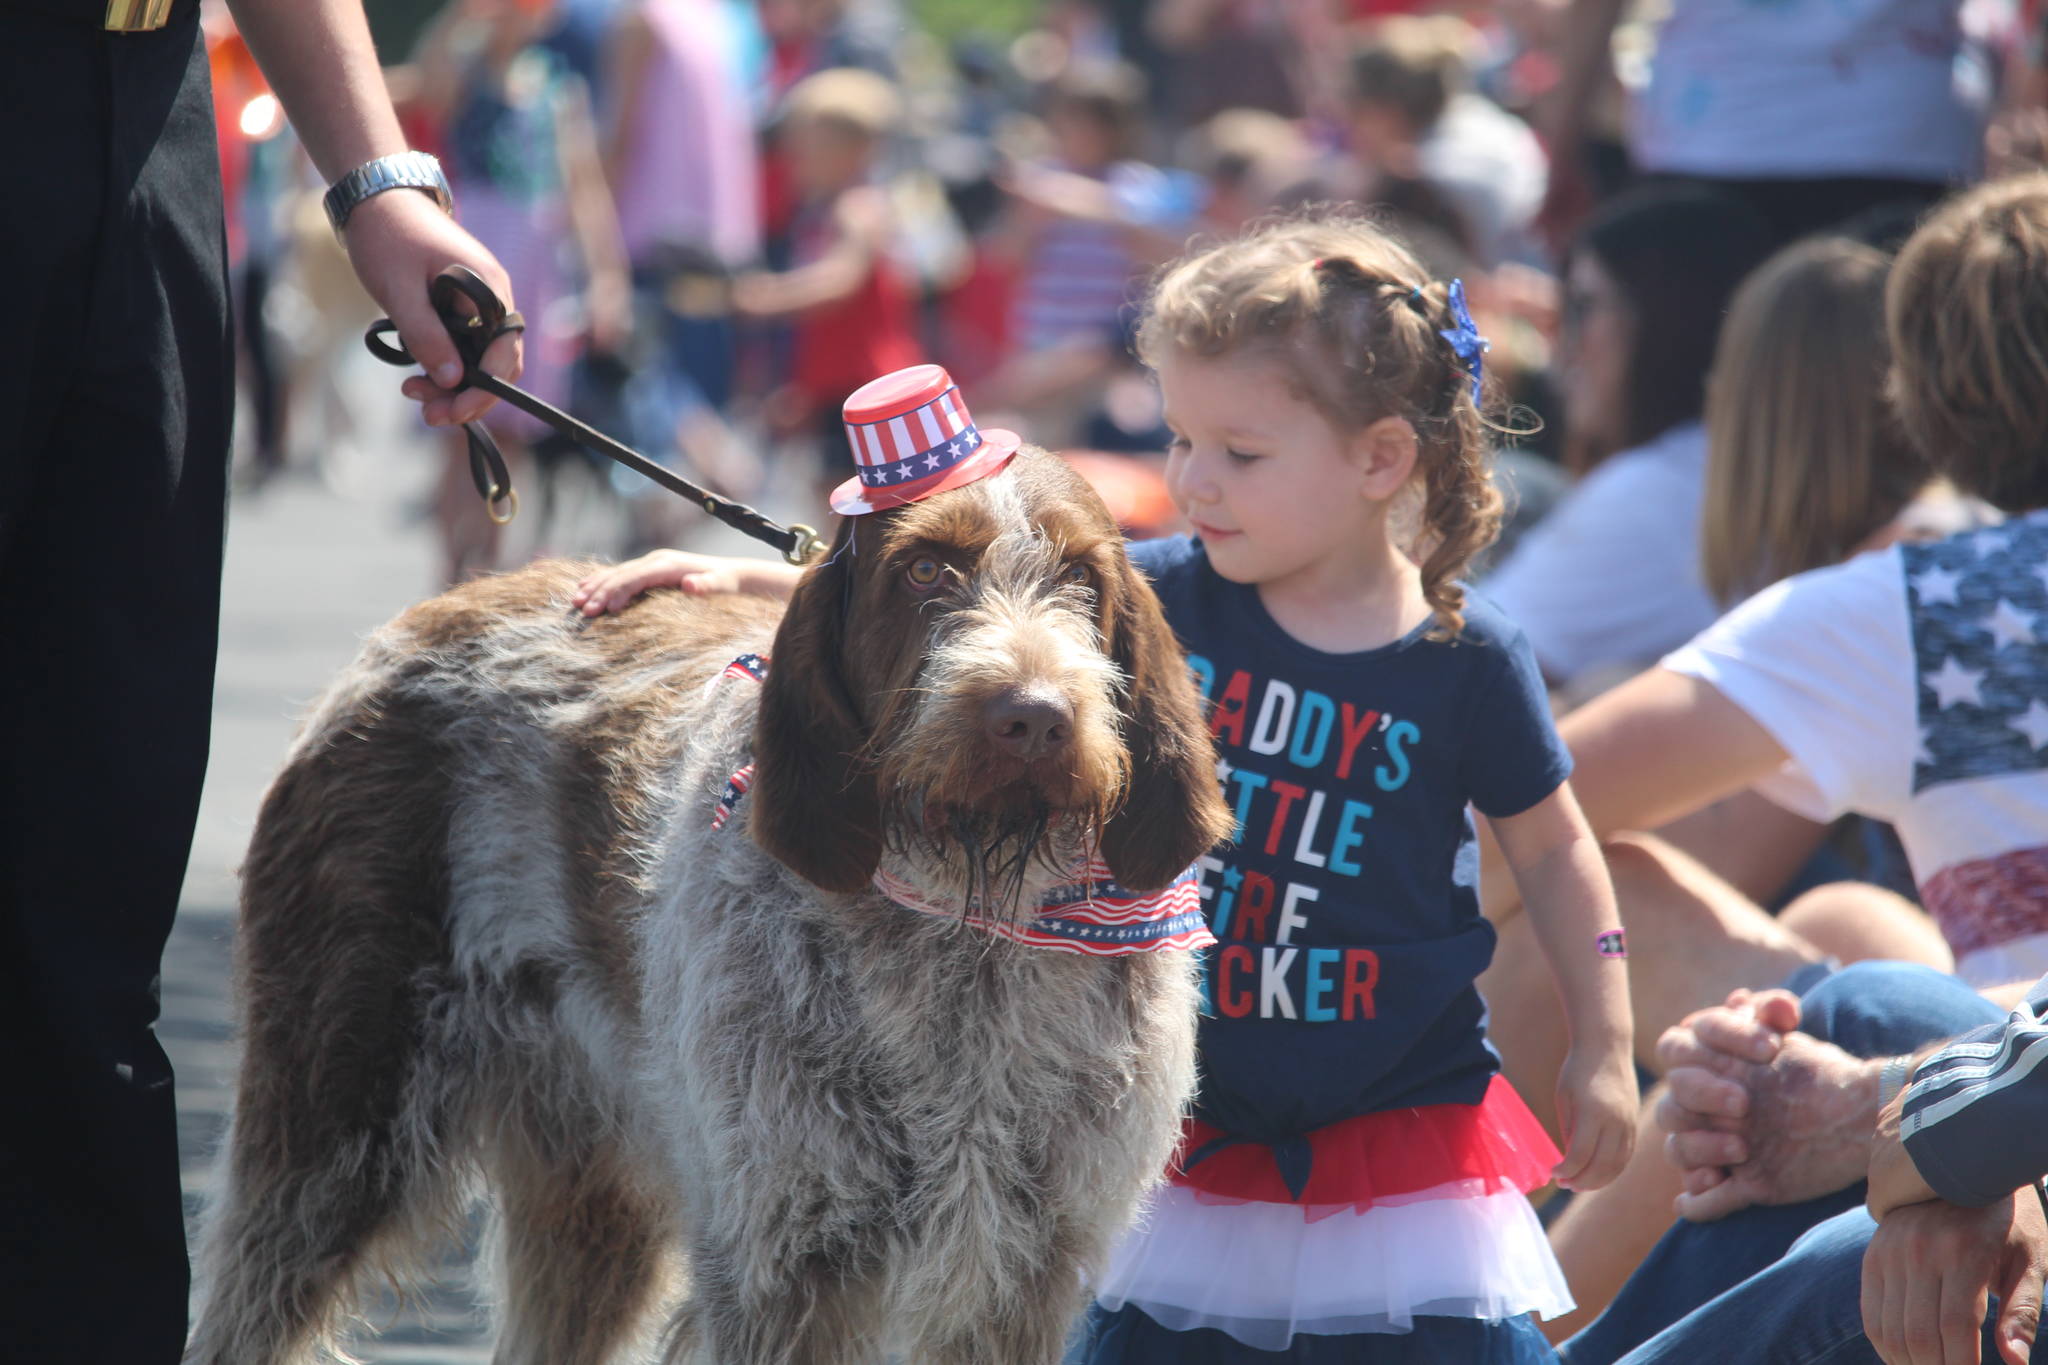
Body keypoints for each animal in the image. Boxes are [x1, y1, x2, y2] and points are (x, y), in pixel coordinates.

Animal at [188, 450, 1228, 1365]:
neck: (963, 929)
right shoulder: (787, 1261)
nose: (1034, 716)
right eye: (926, 569)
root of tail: (425, 617)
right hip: (327, 1131)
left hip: (587, 1192)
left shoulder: (1024, 1271)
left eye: (1084, 578)